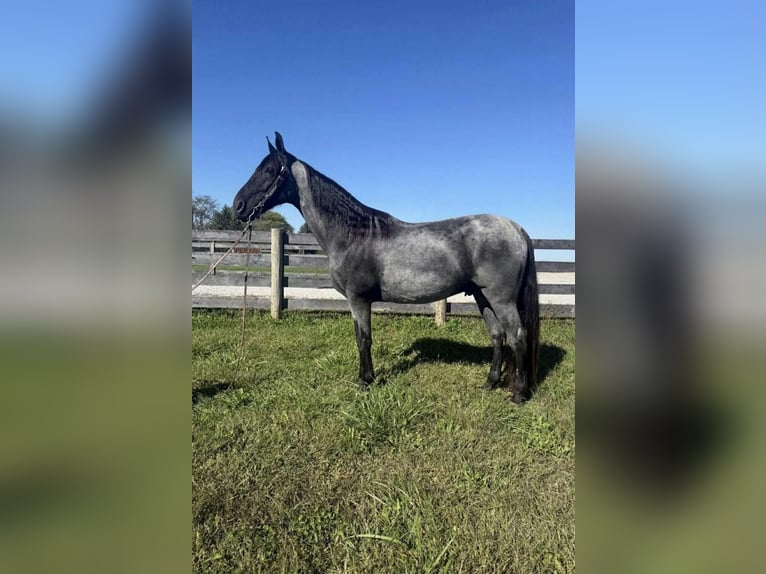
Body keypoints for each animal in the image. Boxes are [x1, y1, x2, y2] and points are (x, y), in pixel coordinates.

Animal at [233, 132, 539, 403]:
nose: (238, 206)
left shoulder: (358, 299)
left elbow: (364, 339)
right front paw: (366, 377)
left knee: (518, 337)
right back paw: (489, 384)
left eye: (269, 169)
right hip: (481, 295)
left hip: (501, 299)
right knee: (498, 336)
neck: (354, 235)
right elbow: (361, 337)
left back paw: (518, 395)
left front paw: (365, 381)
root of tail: (517, 229)